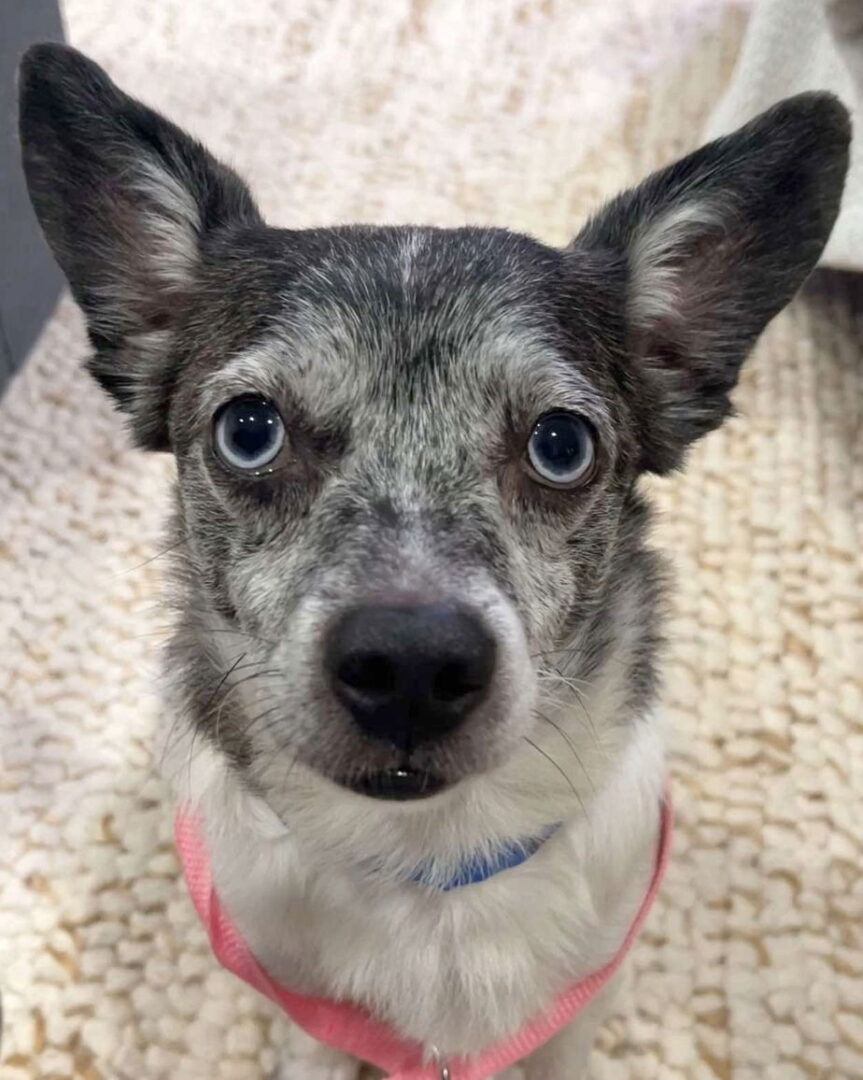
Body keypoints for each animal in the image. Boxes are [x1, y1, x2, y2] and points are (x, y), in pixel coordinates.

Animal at [18, 44, 849, 1080]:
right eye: (249, 431)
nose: (409, 665)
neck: (429, 863)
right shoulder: (312, 1018)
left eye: (561, 445)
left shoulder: (579, 1011)